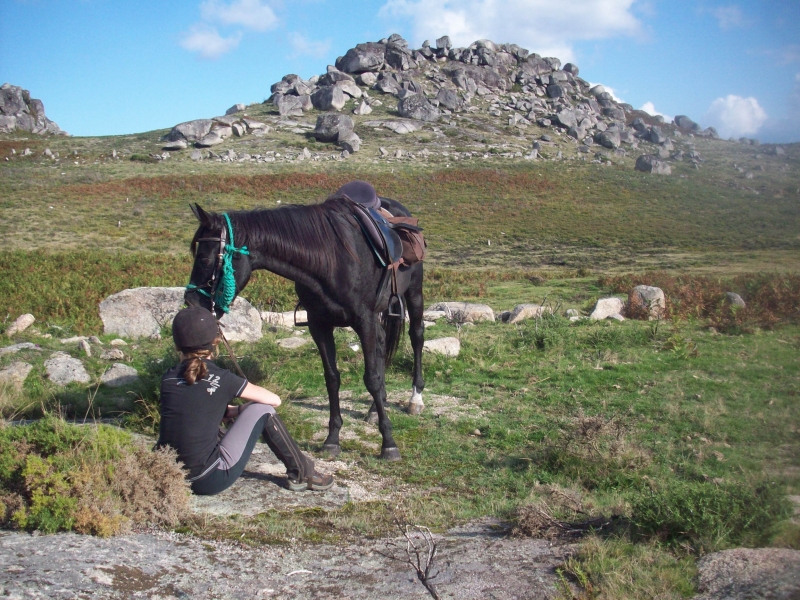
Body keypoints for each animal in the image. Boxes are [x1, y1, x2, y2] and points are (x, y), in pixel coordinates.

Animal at [185, 191, 428, 460]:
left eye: (204, 257)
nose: (191, 301)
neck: (331, 259)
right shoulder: (318, 325)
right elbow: (332, 379)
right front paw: (332, 439)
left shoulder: (364, 320)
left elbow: (372, 378)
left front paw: (388, 443)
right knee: (383, 342)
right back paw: (376, 408)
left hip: (413, 293)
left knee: (416, 336)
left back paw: (415, 398)